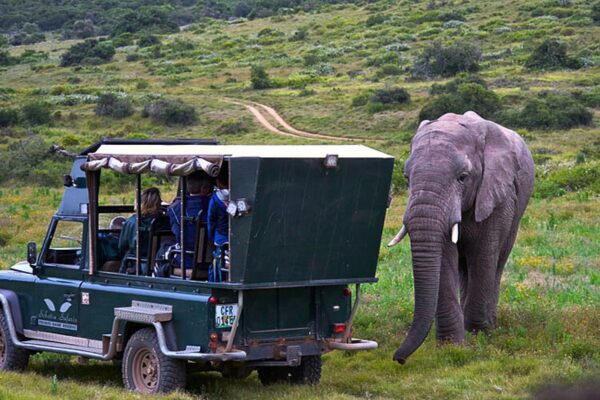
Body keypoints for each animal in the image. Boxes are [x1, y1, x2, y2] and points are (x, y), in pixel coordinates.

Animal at [390, 111, 536, 364]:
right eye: (406, 177)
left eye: (463, 177)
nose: (399, 358)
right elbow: (444, 258)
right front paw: (452, 346)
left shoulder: (498, 195)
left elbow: (484, 254)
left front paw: (478, 336)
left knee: (497, 262)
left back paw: (491, 324)